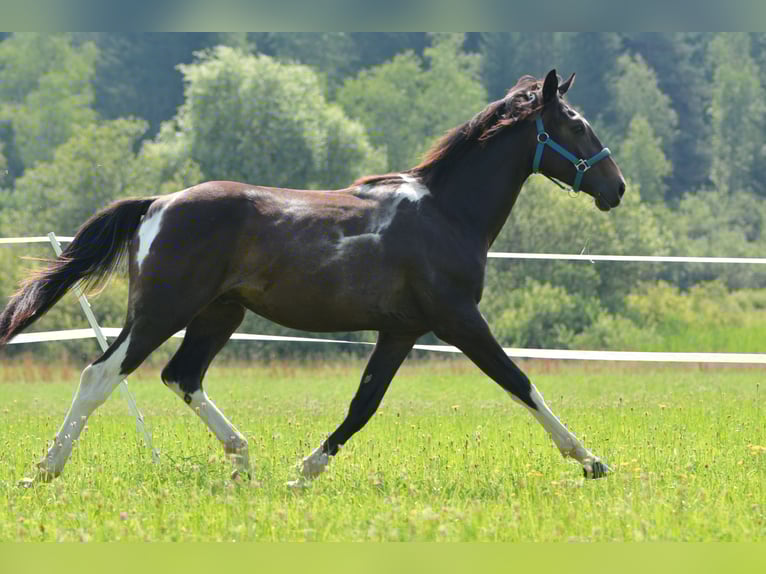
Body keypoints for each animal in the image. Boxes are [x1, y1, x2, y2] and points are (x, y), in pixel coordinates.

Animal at [0, 70, 625, 487]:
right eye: (575, 124)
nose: (616, 188)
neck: (446, 213)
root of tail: (158, 204)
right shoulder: (458, 319)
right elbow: (519, 382)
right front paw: (590, 460)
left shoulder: (402, 330)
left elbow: (363, 404)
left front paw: (304, 471)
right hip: (162, 311)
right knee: (102, 374)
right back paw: (45, 470)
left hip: (219, 313)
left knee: (182, 376)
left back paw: (244, 460)